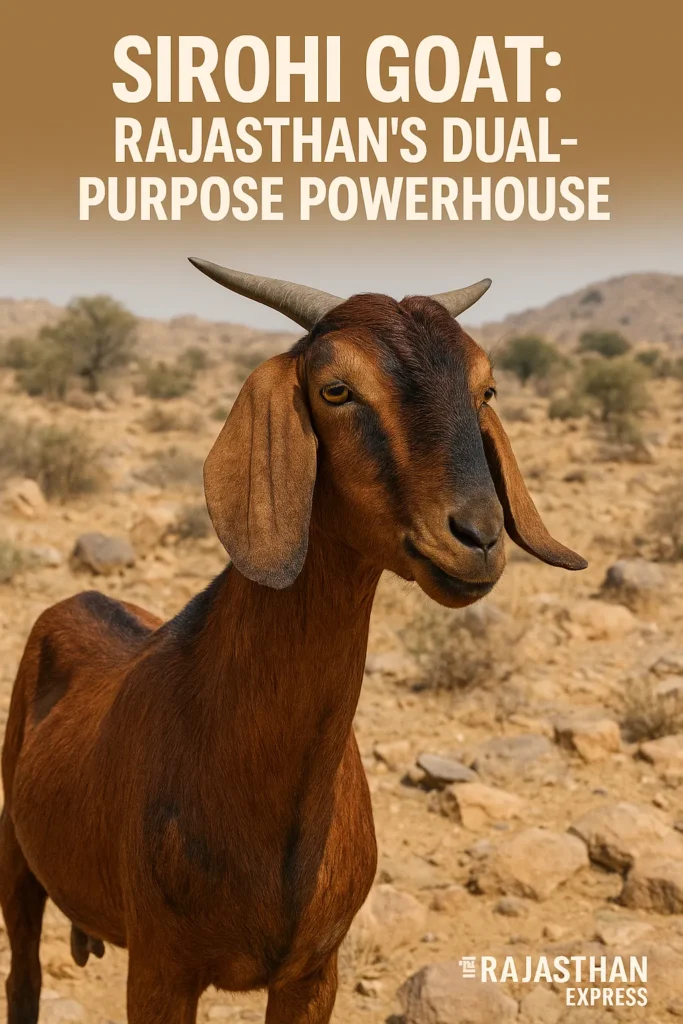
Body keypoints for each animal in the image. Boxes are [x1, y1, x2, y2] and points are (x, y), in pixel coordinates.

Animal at [0, 262, 586, 1024]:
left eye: (484, 388)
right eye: (336, 389)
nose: (477, 537)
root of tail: (75, 600)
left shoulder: (313, 971)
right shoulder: (160, 969)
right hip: (16, 859)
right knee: (23, 979)